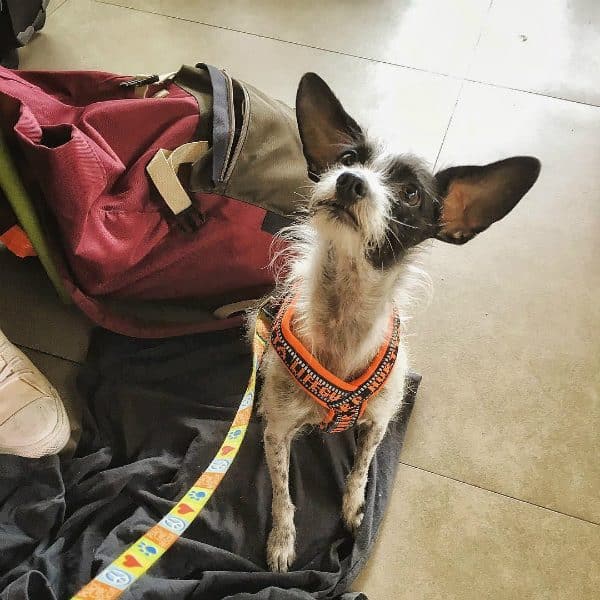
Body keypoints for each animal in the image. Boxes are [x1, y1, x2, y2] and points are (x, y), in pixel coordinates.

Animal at [251, 71, 540, 572]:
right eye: (348, 159)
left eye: (410, 194)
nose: (349, 181)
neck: (342, 317)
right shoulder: (278, 429)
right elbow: (284, 494)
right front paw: (282, 541)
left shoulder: (379, 422)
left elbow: (362, 470)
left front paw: (353, 509)